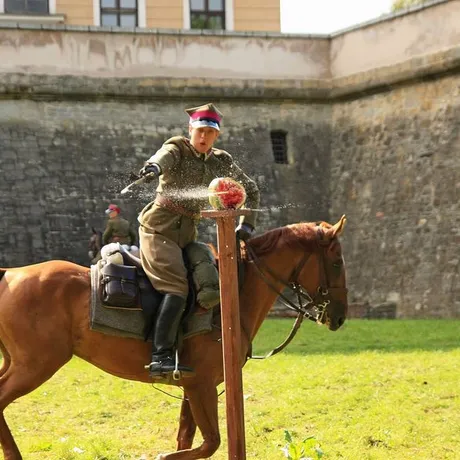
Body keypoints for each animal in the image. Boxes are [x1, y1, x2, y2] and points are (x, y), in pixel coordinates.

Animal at [0, 217, 346, 460]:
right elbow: (208, 443)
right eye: (337, 262)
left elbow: (188, 440)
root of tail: (10, 274)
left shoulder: (192, 388)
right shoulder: (202, 387)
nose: (340, 316)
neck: (233, 294)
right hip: (36, 366)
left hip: (18, 364)